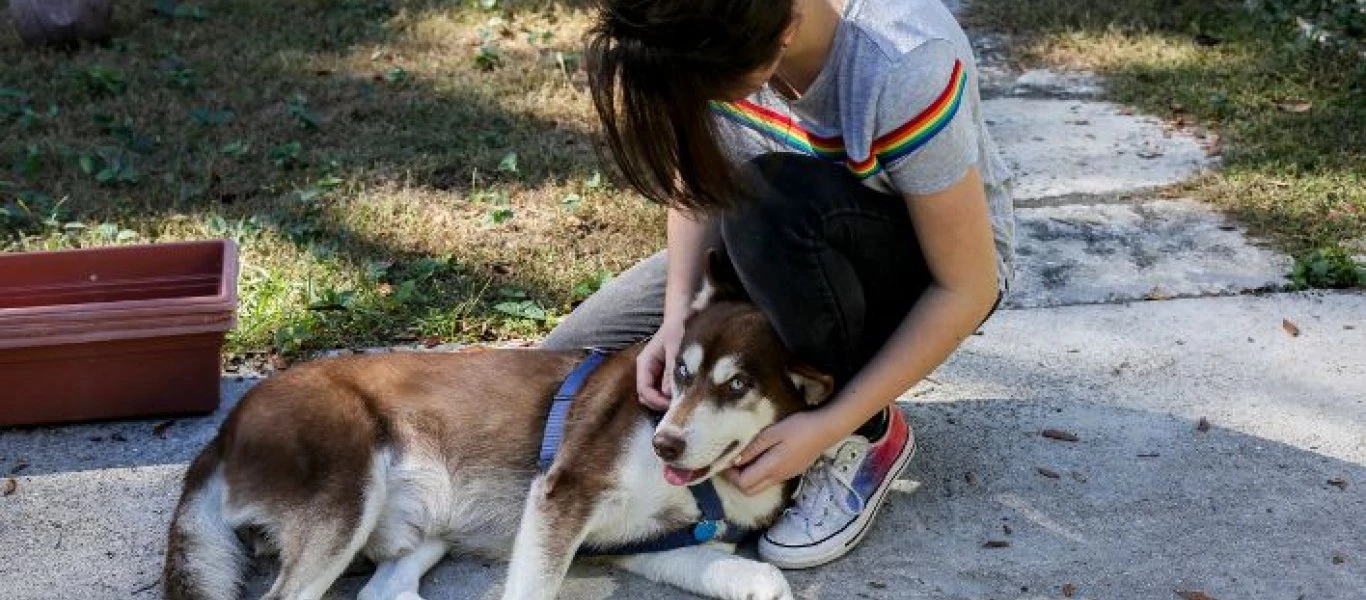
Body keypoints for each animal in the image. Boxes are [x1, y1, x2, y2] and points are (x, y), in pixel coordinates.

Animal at [165, 254, 835, 600]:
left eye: (737, 385)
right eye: (680, 373)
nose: (664, 441)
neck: (711, 486)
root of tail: (223, 432)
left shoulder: (641, 543)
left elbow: (754, 572)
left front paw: (755, 582)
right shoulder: (562, 496)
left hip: (422, 530)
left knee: (383, 592)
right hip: (345, 496)